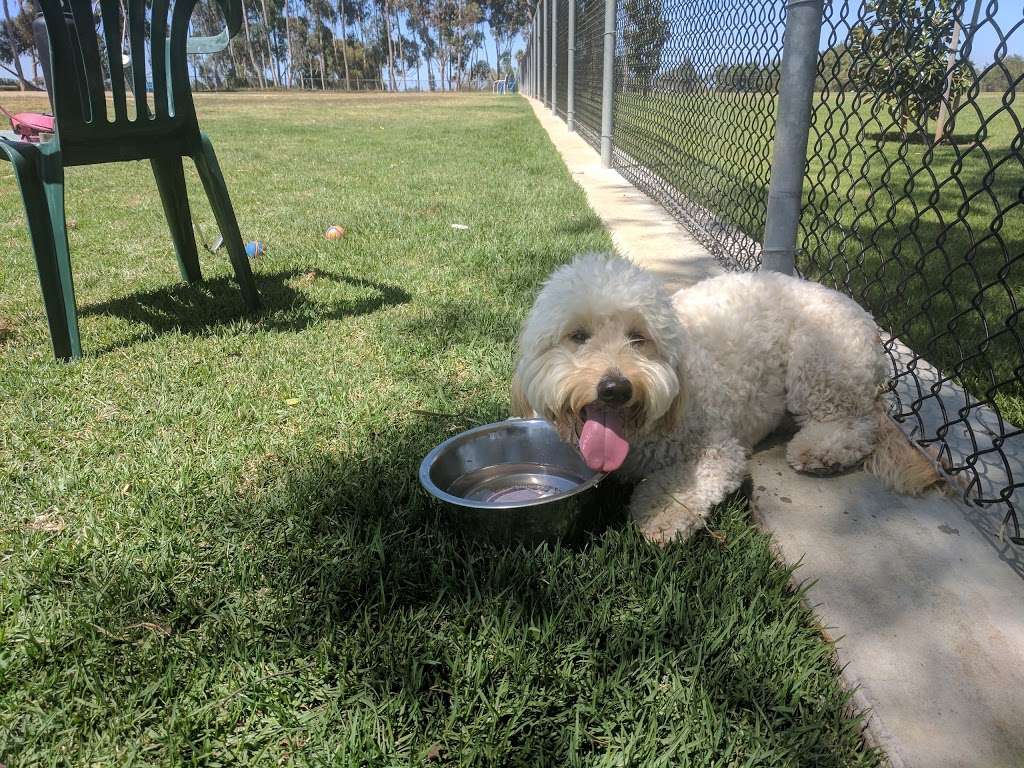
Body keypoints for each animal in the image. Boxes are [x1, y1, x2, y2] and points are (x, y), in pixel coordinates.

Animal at [507, 256, 937, 544]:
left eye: (638, 337)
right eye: (577, 336)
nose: (616, 387)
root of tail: (863, 314)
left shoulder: (717, 449)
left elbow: (681, 482)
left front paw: (662, 514)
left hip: (819, 362)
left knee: (854, 424)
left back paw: (819, 449)